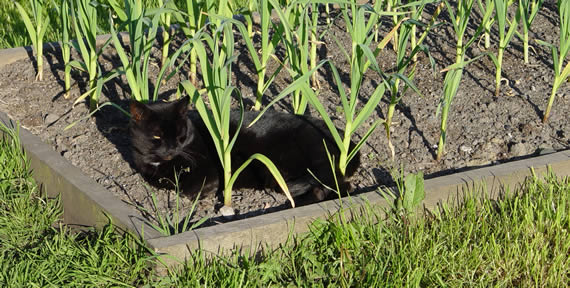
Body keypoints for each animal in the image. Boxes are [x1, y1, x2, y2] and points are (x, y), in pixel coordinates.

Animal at [129, 96, 360, 202]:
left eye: (180, 135)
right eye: (157, 137)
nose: (171, 149)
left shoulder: (211, 173)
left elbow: (190, 189)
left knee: (341, 185)